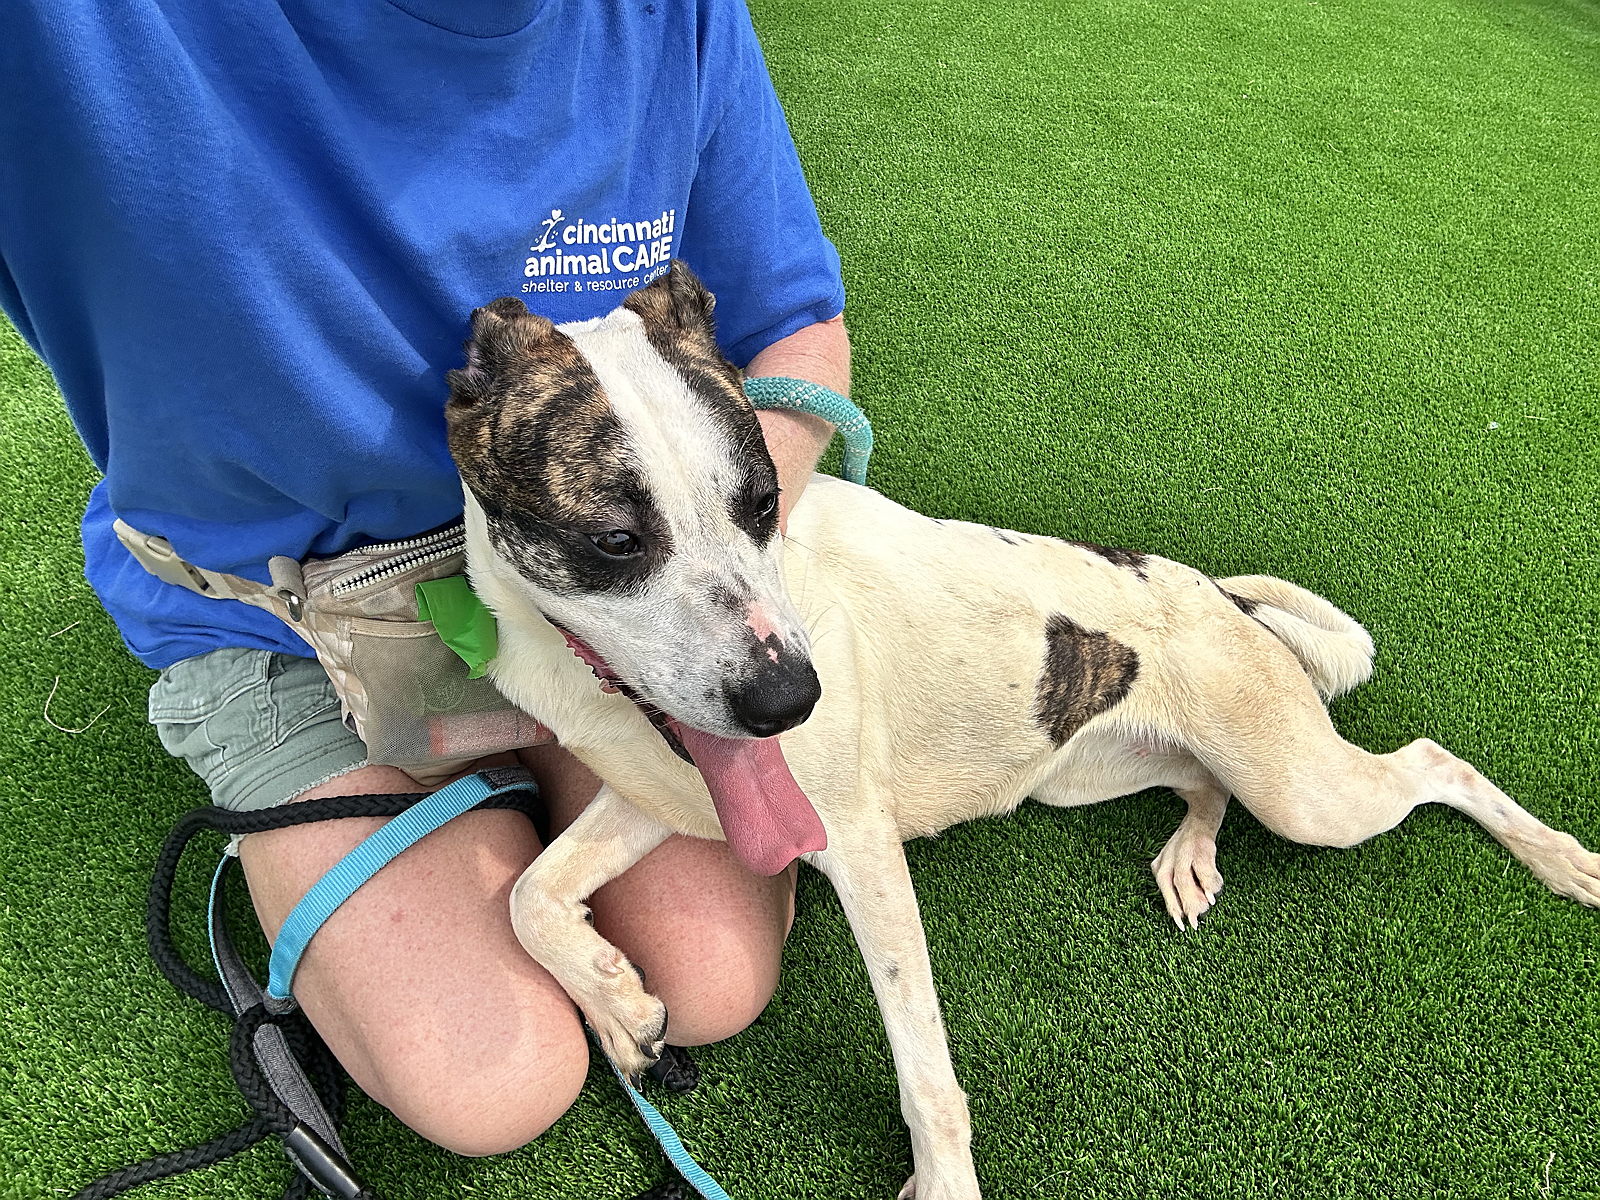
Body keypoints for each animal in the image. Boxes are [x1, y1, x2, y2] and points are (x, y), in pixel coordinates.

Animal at [445, 261, 1600, 1200]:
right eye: (614, 540)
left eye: (764, 499)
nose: (790, 702)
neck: (588, 683)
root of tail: (1219, 593)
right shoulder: (679, 788)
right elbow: (526, 896)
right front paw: (618, 1007)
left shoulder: (852, 841)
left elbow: (923, 1068)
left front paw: (943, 1180)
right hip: (1077, 772)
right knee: (1203, 782)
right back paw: (1188, 855)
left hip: (1304, 789)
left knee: (1430, 762)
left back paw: (1560, 860)